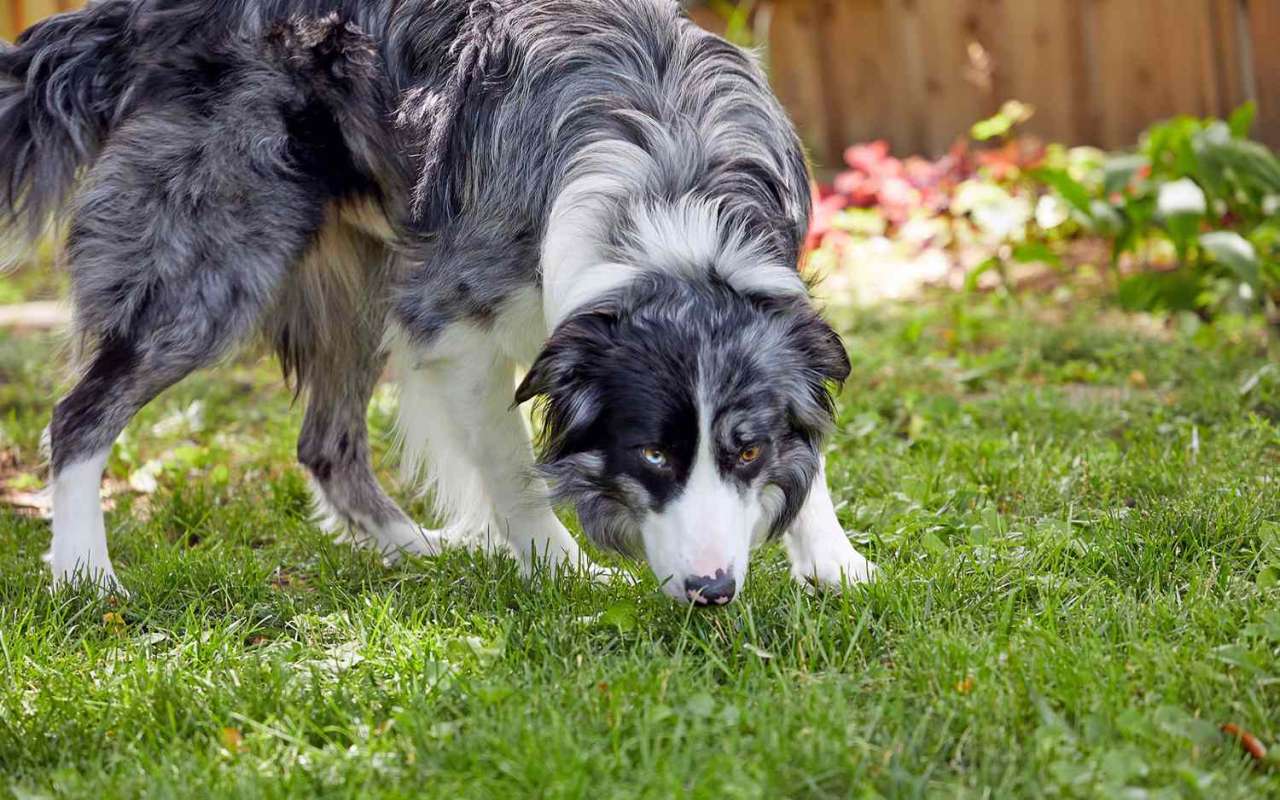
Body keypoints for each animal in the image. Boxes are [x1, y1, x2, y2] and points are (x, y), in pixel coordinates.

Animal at [0, 0, 875, 601]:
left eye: (747, 453)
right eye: (652, 455)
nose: (712, 591)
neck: (673, 207)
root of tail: (143, 14)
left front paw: (834, 560)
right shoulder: (453, 325)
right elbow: (514, 467)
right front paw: (563, 573)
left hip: (359, 281)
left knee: (325, 443)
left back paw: (415, 548)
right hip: (212, 270)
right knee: (78, 416)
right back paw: (85, 576)